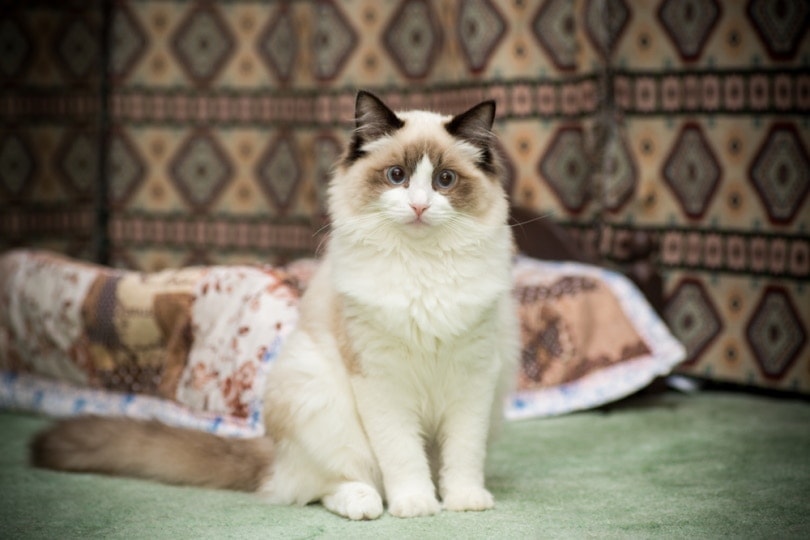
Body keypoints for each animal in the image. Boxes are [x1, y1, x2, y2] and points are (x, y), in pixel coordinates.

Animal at [30, 90, 516, 520]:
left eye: (444, 181)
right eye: (396, 176)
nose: (418, 206)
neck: (422, 269)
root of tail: (275, 450)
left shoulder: (474, 378)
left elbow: (462, 456)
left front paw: (463, 501)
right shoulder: (381, 379)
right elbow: (403, 457)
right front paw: (416, 505)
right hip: (320, 396)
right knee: (329, 483)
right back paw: (364, 506)